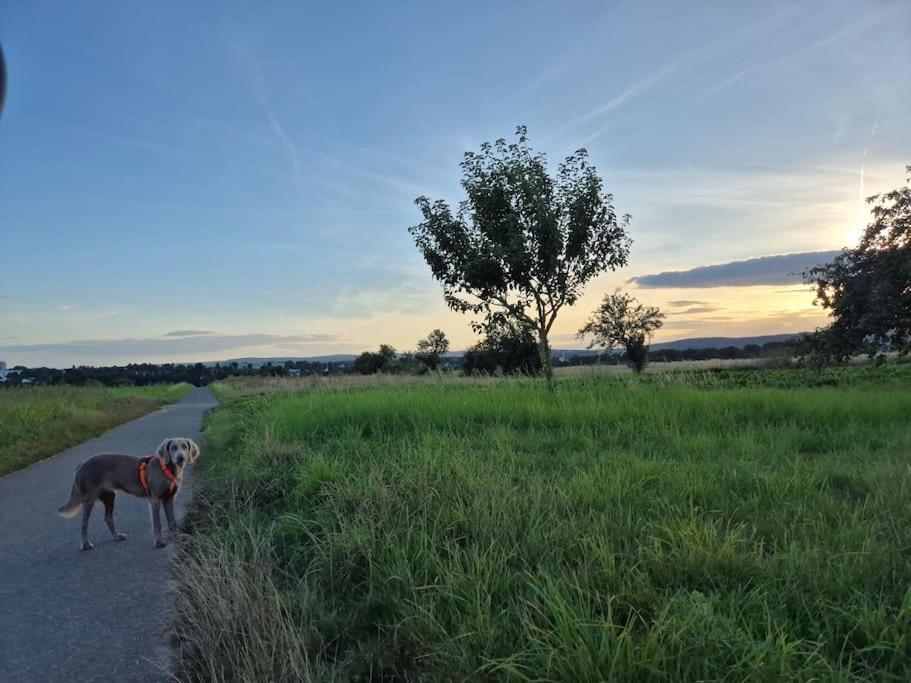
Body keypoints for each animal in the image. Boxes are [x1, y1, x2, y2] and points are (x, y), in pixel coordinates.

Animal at [58, 438, 200, 552]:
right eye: (173, 447)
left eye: (184, 446)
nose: (181, 458)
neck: (168, 469)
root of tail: (81, 465)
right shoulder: (155, 500)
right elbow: (157, 524)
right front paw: (159, 542)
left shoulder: (169, 499)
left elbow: (172, 521)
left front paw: (177, 537)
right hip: (89, 499)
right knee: (84, 523)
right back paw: (86, 544)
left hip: (110, 496)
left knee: (108, 518)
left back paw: (116, 536)